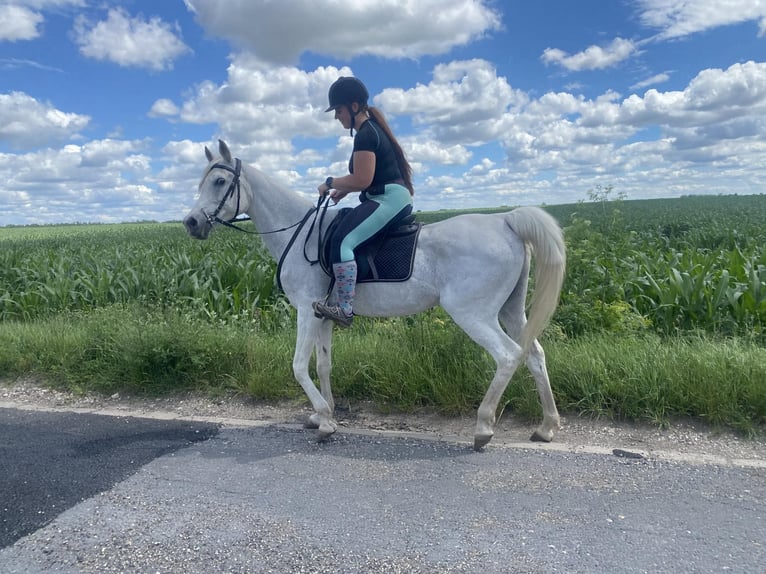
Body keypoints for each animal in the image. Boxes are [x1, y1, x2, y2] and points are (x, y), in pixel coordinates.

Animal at [184, 141, 568, 450]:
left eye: (219, 182)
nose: (190, 222)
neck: (300, 232)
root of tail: (504, 221)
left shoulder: (306, 311)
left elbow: (297, 365)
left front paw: (324, 422)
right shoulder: (323, 314)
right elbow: (323, 365)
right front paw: (324, 414)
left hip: (473, 314)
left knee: (508, 356)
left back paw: (483, 428)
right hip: (510, 311)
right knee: (535, 354)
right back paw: (547, 427)